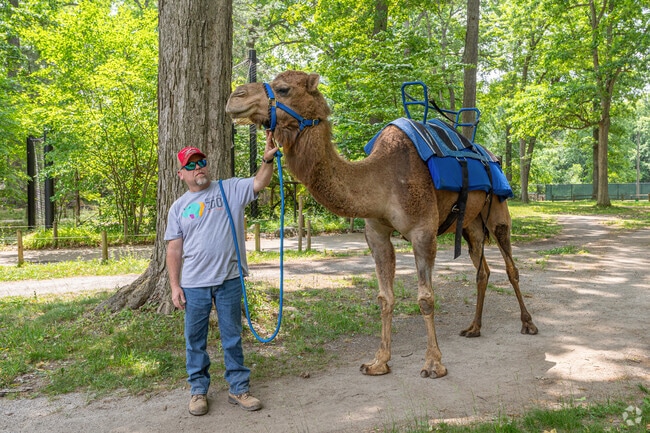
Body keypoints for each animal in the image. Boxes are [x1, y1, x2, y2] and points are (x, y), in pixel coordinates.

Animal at [226, 70, 537, 379]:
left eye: (283, 89)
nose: (234, 97)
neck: (381, 178)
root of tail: (490, 155)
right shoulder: (376, 234)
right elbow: (384, 298)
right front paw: (378, 362)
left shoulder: (423, 232)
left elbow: (426, 298)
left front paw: (433, 364)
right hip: (470, 225)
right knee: (482, 269)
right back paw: (474, 327)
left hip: (498, 211)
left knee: (510, 265)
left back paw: (528, 324)